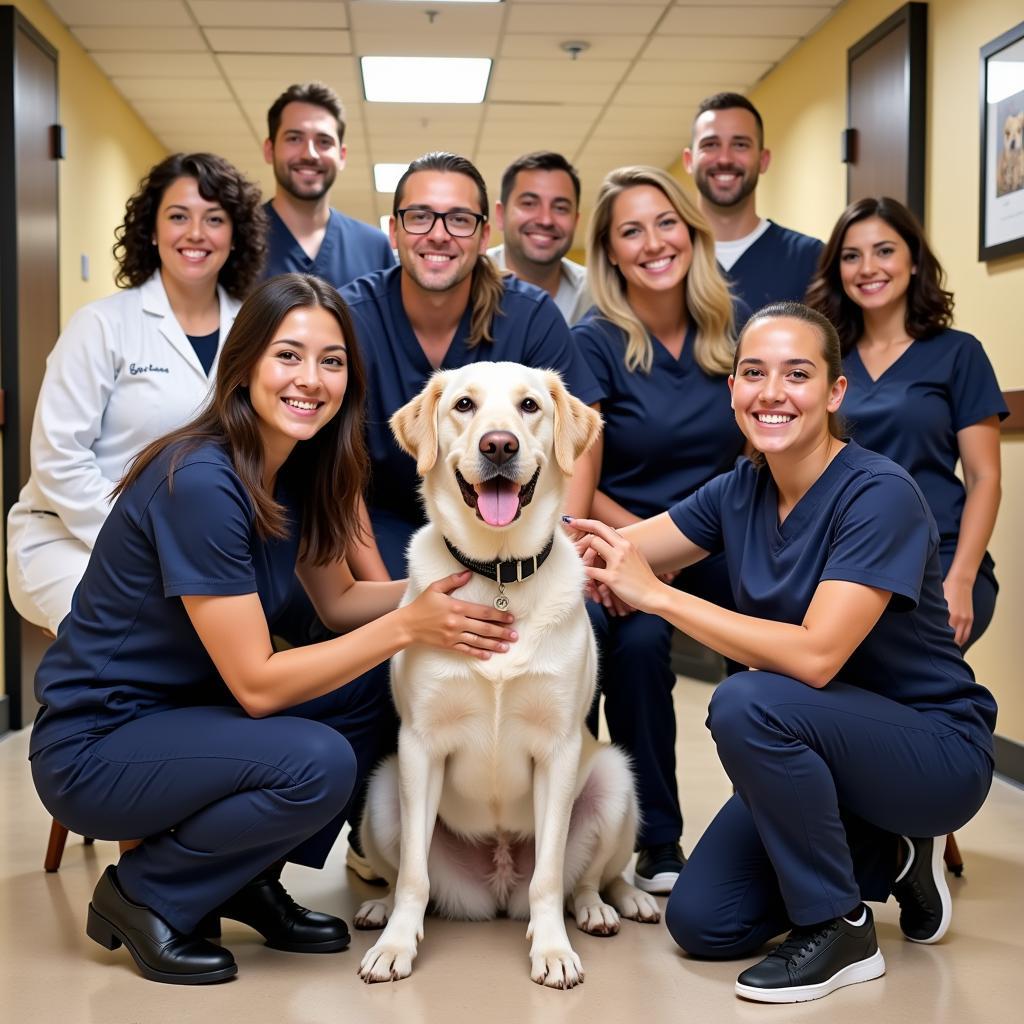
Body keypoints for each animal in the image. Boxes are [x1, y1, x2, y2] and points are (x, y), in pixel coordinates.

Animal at [356, 364, 659, 987]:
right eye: (465, 405)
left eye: (529, 406)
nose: (500, 445)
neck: (497, 573)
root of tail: (496, 889)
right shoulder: (419, 747)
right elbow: (414, 876)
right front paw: (396, 947)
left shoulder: (560, 751)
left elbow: (548, 876)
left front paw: (553, 951)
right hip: (382, 791)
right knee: (401, 874)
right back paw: (378, 909)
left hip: (613, 780)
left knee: (586, 878)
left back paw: (609, 906)